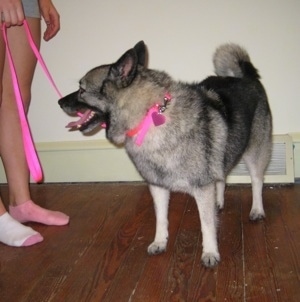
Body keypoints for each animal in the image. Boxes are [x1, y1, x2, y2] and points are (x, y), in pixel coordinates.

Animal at [58, 40, 272, 266]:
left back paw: (257, 210)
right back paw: (219, 202)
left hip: (254, 154)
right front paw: (160, 242)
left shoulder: (202, 187)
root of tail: (246, 76)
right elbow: (161, 218)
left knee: (257, 181)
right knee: (222, 177)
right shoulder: (158, 187)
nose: (59, 102)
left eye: (81, 90)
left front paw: (210, 252)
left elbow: (207, 225)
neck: (147, 117)